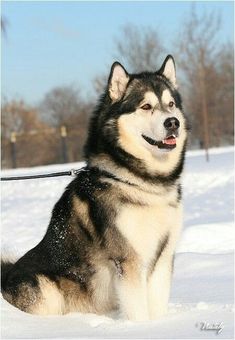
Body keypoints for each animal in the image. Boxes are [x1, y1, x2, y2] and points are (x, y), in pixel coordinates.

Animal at [0, 55, 188, 322]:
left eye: (171, 104)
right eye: (145, 106)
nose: (173, 122)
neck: (144, 183)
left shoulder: (163, 257)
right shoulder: (128, 260)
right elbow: (138, 311)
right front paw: (141, 328)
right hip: (45, 290)